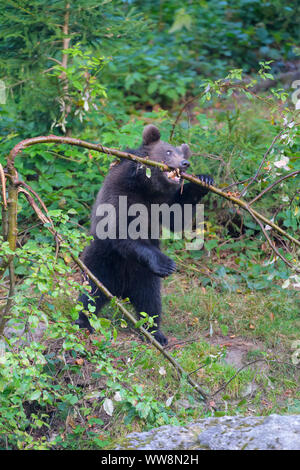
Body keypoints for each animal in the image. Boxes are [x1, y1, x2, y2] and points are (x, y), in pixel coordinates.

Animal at [76, 125, 214, 346]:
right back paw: (83, 321)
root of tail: (121, 291)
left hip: (144, 275)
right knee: (91, 292)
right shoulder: (121, 191)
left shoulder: (163, 202)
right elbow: (119, 229)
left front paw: (203, 180)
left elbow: (177, 218)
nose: (185, 163)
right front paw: (166, 263)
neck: (147, 187)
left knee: (150, 301)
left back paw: (155, 333)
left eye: (182, 154)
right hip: (102, 261)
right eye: (168, 151)